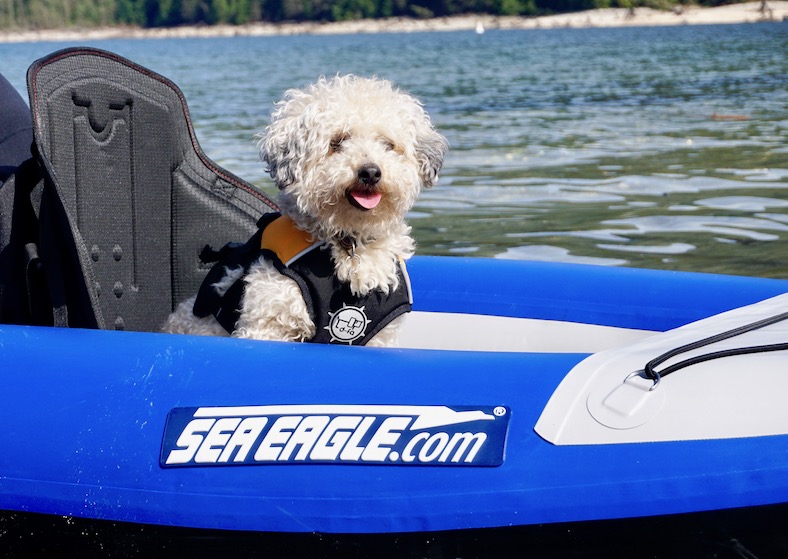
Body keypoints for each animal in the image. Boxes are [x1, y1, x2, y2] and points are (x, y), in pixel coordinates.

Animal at [163, 74, 446, 346]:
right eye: (337, 142)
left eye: (388, 144)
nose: (370, 172)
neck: (350, 242)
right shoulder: (269, 322)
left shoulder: (380, 334)